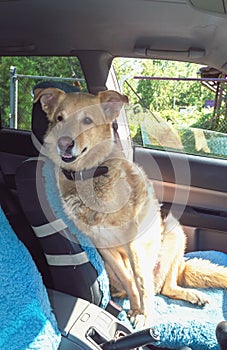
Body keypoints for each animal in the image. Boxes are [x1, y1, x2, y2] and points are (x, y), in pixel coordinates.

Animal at [33, 88, 227, 328]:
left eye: (87, 121)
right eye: (60, 118)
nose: (64, 143)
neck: (88, 175)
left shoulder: (134, 241)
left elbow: (141, 281)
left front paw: (145, 314)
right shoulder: (104, 248)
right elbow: (130, 280)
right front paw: (136, 310)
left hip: (174, 231)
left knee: (166, 286)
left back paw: (190, 294)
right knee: (154, 288)